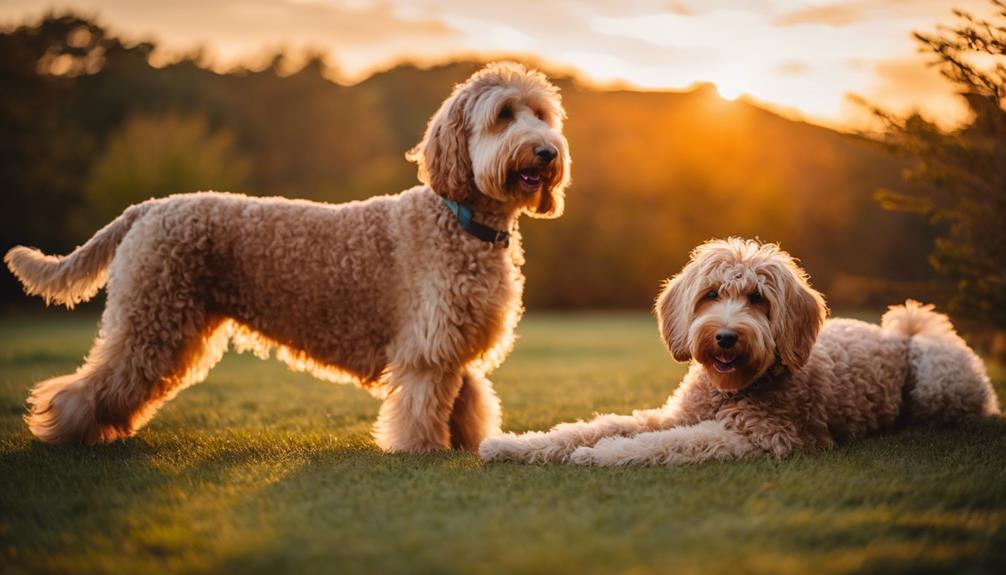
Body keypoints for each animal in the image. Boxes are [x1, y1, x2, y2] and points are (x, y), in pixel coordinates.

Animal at [3, 61, 571, 448]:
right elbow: (423, 407)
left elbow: (468, 402)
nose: (547, 150)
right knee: (89, 385)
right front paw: (425, 451)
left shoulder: (456, 343)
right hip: (151, 322)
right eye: (503, 115)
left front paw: (466, 445)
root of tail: (150, 206)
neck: (460, 219)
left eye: (542, 115)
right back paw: (62, 430)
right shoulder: (427, 350)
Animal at [480, 238, 997, 466]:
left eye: (758, 300)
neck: (729, 390)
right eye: (711, 294)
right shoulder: (673, 415)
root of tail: (902, 333)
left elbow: (667, 443)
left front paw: (605, 455)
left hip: (937, 371)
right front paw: (513, 445)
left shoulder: (765, 436)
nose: (727, 336)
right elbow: (594, 427)